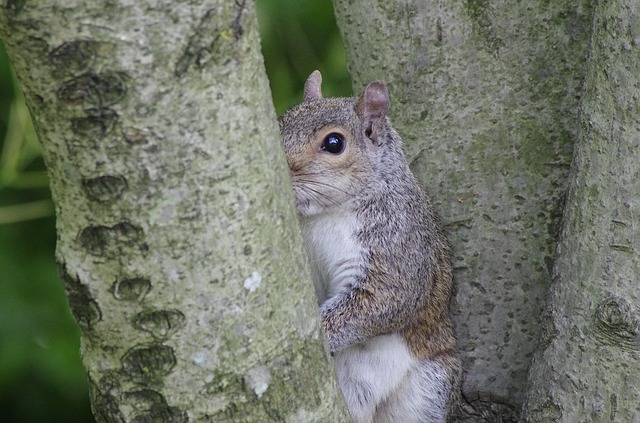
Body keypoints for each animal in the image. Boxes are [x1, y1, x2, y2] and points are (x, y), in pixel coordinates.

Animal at [278, 70, 460, 423]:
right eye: (281, 121)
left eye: (334, 143)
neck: (323, 215)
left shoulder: (398, 243)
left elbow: (382, 301)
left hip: (427, 391)